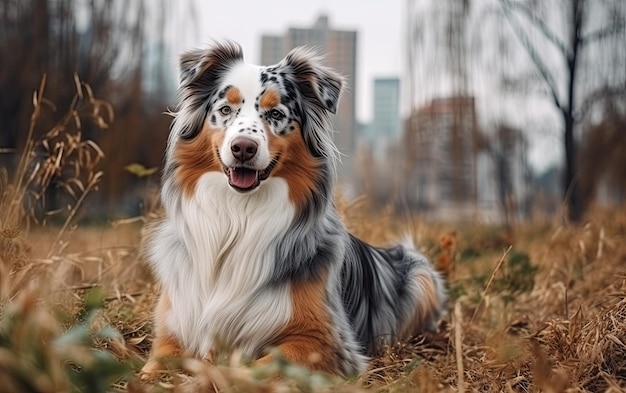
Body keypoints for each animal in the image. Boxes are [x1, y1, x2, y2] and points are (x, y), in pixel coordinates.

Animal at [141, 40, 444, 376]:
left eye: (276, 113)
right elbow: (152, 368)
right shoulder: (172, 331)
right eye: (225, 110)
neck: (239, 216)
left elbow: (246, 370)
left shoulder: (324, 342)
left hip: (422, 280)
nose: (243, 148)